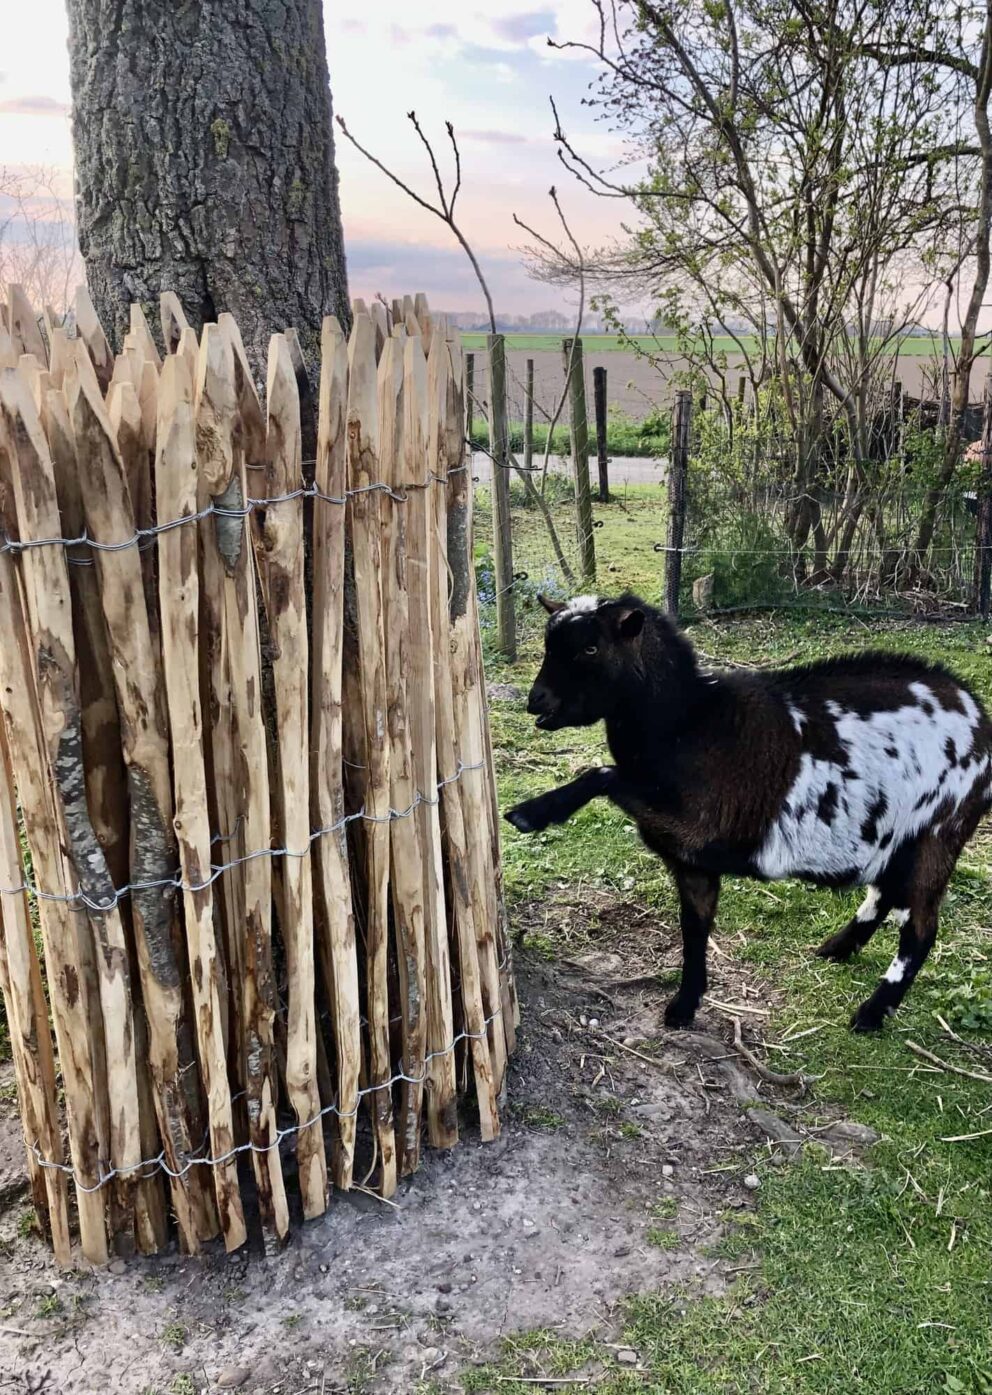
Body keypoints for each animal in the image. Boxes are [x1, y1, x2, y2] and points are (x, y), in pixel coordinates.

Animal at [507, 594, 987, 1032]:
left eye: (591, 648)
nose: (537, 702)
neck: (686, 725)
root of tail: (978, 717)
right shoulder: (691, 861)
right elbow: (694, 932)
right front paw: (683, 1008)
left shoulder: (697, 823)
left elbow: (604, 773)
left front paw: (531, 813)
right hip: (894, 836)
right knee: (886, 891)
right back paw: (837, 948)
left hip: (939, 830)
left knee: (920, 928)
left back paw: (869, 1014)